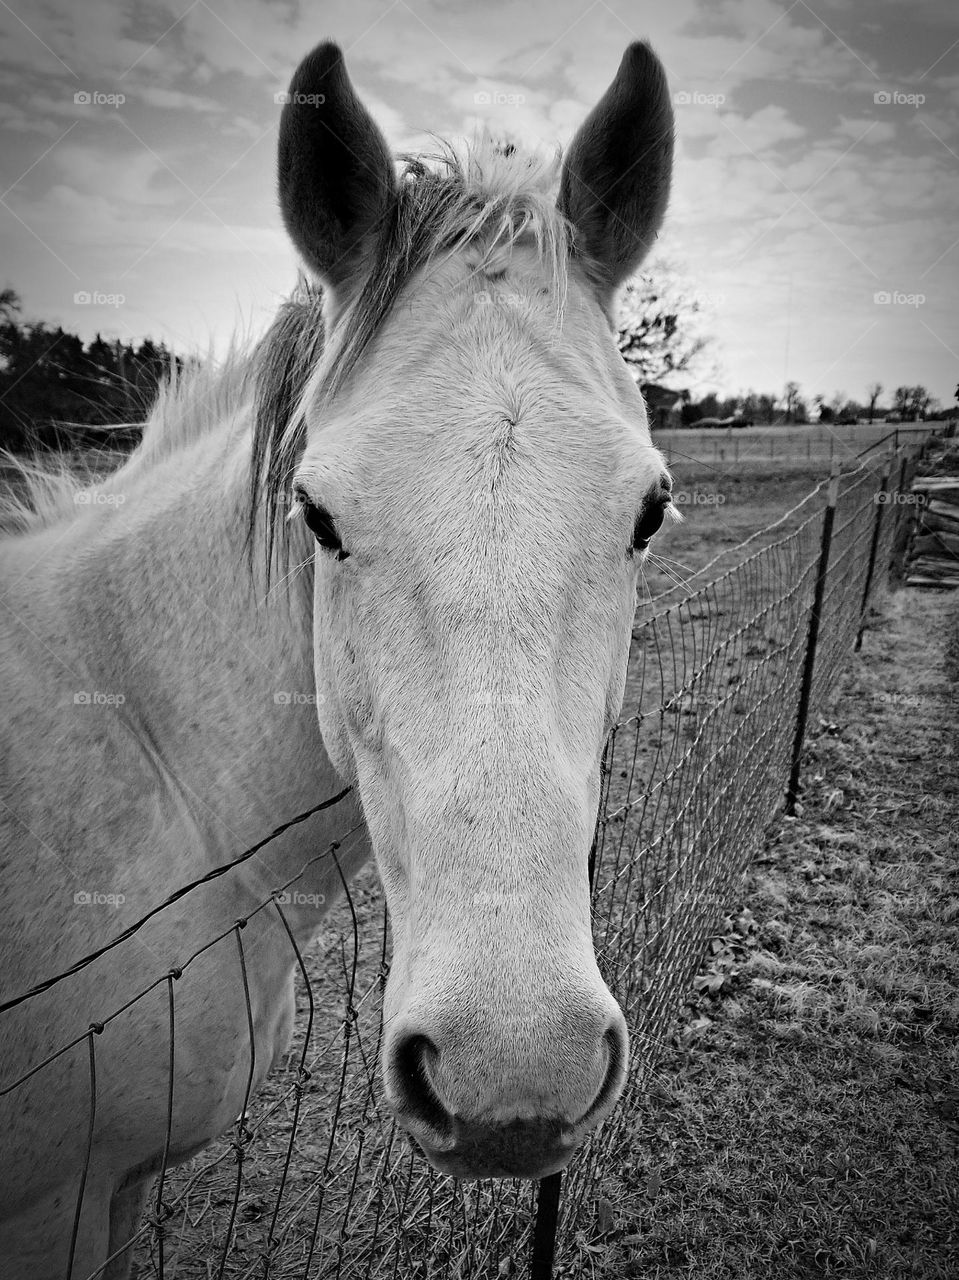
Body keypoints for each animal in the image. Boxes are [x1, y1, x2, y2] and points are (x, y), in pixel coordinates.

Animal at [0, 37, 670, 1280]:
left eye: (648, 511)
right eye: (315, 513)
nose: (516, 1074)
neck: (145, 758)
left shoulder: (114, 1192)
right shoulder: (49, 1206)